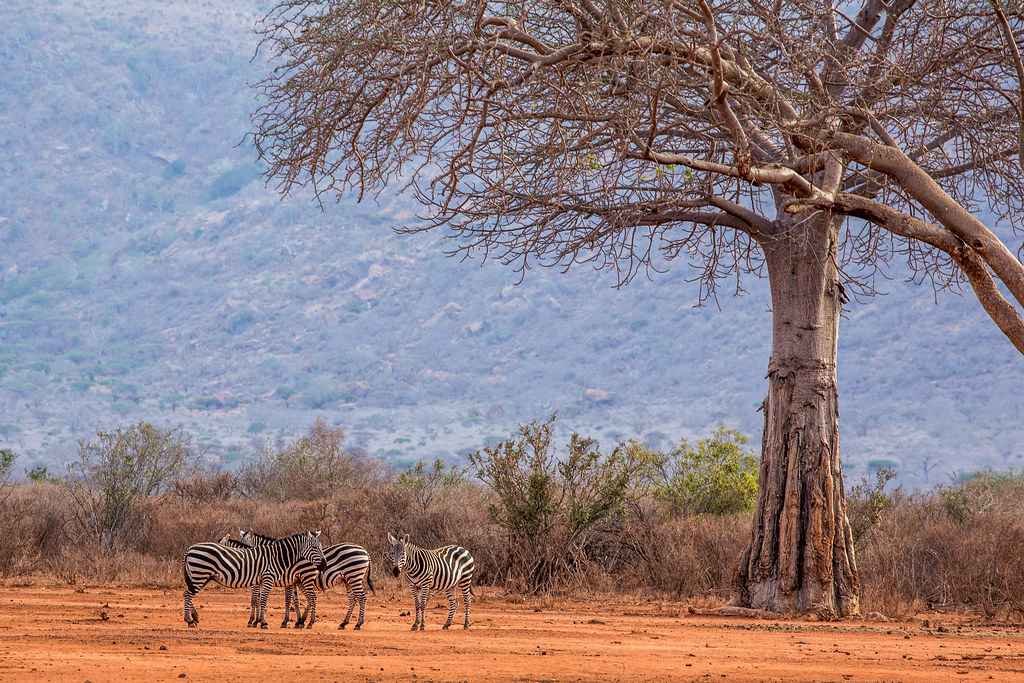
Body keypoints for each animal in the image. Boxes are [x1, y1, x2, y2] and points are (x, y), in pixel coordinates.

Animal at [182, 528, 325, 630]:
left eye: (320, 547)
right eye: (314, 547)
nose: (324, 565)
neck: (276, 556)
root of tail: (189, 548)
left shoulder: (261, 581)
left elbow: (259, 600)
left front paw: (257, 621)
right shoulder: (266, 579)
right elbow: (260, 600)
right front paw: (261, 622)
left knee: (311, 598)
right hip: (200, 575)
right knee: (188, 594)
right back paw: (190, 620)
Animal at [240, 528, 376, 630]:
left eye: (245, 545)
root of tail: (364, 551)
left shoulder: (288, 580)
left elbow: (284, 600)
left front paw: (257, 621)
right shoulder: (291, 581)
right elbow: (294, 600)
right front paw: (297, 621)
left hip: (354, 577)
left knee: (362, 598)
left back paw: (358, 624)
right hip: (348, 580)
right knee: (353, 599)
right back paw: (343, 623)